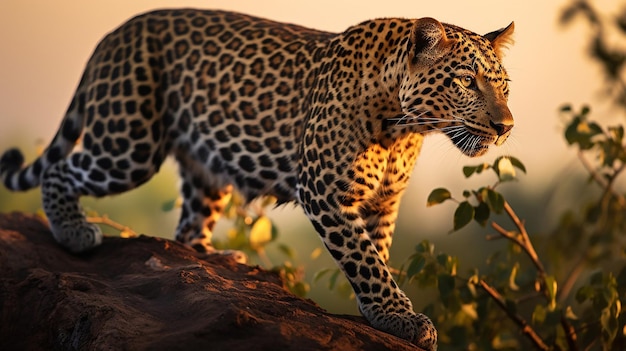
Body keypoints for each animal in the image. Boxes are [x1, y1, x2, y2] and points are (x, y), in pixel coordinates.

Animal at [0, 8, 512, 351]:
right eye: (466, 81)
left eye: (504, 85)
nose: (506, 126)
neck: (405, 128)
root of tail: (114, 32)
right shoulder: (325, 191)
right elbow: (365, 259)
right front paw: (399, 317)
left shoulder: (382, 202)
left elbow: (376, 254)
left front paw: (381, 314)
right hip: (130, 141)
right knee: (62, 171)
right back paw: (73, 233)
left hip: (202, 165)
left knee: (188, 225)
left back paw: (216, 259)